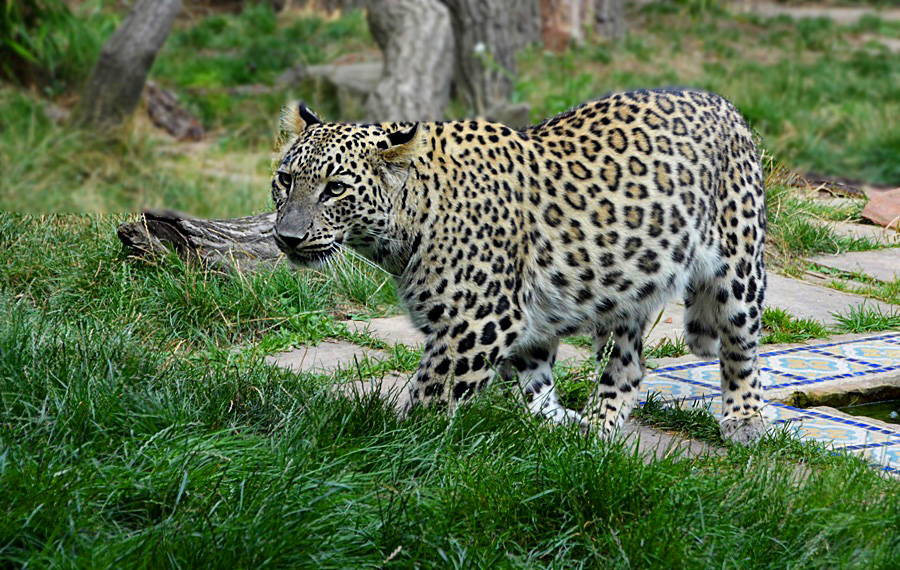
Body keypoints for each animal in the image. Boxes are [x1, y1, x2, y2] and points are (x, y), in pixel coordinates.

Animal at [272, 89, 768, 444]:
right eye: (285, 180)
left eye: (335, 189)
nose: (287, 237)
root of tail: (725, 104)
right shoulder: (502, 323)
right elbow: (521, 382)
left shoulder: (477, 322)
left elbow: (434, 393)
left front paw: (404, 446)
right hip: (623, 287)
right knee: (623, 369)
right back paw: (589, 429)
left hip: (739, 269)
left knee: (740, 348)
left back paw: (745, 420)